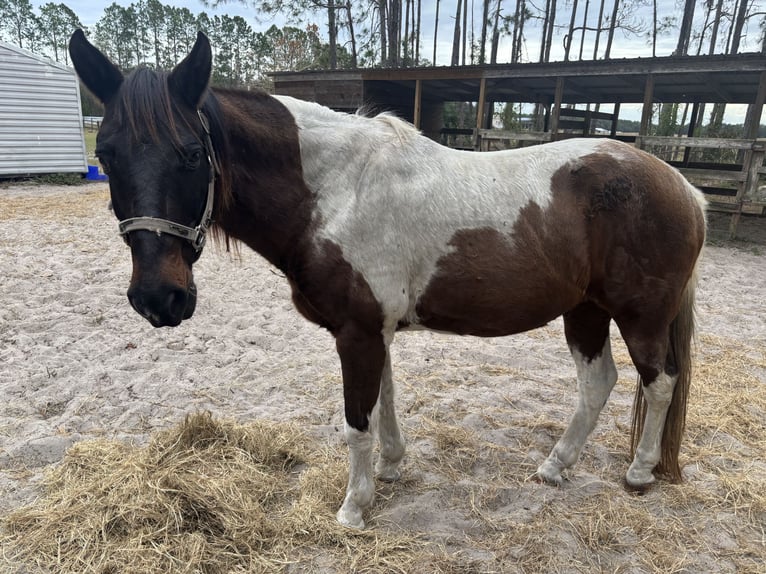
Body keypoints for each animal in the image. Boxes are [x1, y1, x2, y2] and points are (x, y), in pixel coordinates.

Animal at [69, 30, 706, 529]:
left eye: (190, 154)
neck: (335, 191)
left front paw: (354, 507)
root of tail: (681, 186)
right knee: (599, 383)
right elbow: (385, 402)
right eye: (108, 153)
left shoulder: (358, 333)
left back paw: (640, 473)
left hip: (639, 317)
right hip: (586, 311)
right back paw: (555, 466)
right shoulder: (375, 329)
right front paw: (392, 467)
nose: (159, 298)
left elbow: (357, 420)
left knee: (659, 384)